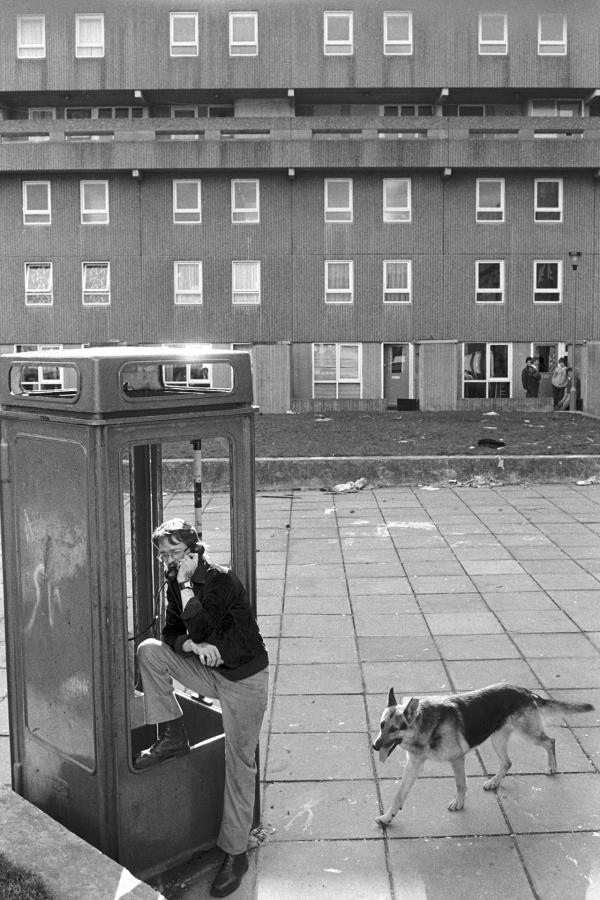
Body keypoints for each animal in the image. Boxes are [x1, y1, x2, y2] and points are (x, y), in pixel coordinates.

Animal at [372, 684, 592, 824]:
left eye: (394, 729)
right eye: (382, 725)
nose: (374, 746)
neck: (425, 726)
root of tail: (526, 691)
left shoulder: (457, 759)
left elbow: (460, 784)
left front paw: (459, 803)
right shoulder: (414, 765)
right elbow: (399, 794)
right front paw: (388, 817)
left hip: (528, 734)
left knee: (550, 741)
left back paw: (552, 767)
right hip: (497, 740)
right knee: (508, 762)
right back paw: (494, 782)